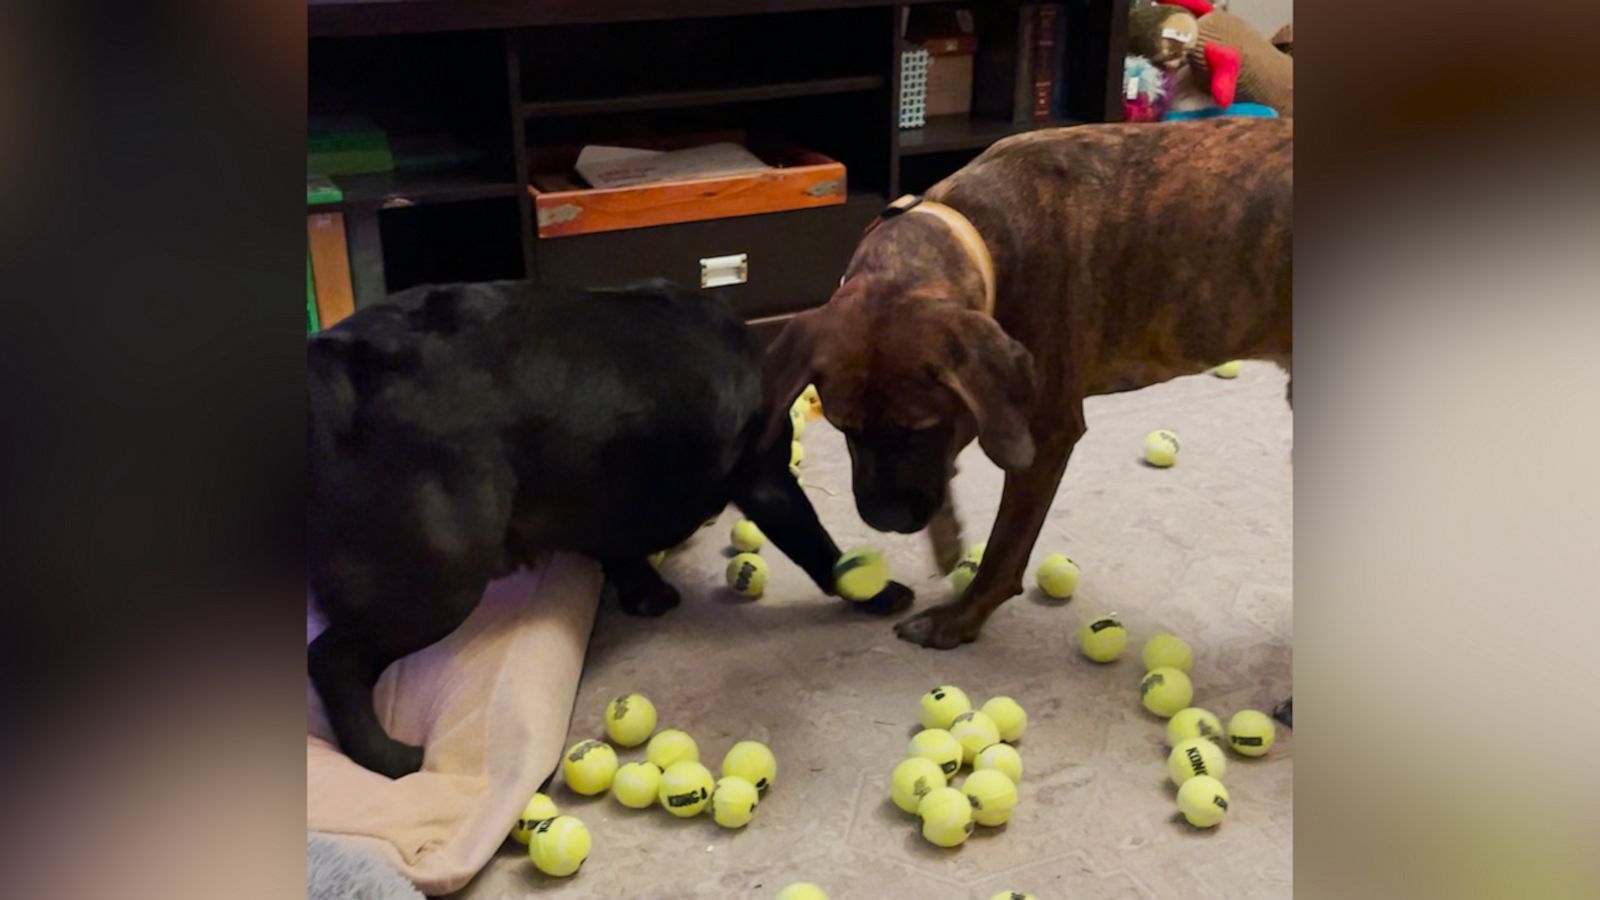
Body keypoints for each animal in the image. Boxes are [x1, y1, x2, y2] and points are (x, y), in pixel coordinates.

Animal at [312, 277, 915, 775]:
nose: (896, 514)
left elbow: (619, 548)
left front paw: (646, 592)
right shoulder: (766, 480)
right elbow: (821, 548)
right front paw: (879, 593)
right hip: (439, 583)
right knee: (331, 662)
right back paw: (386, 756)